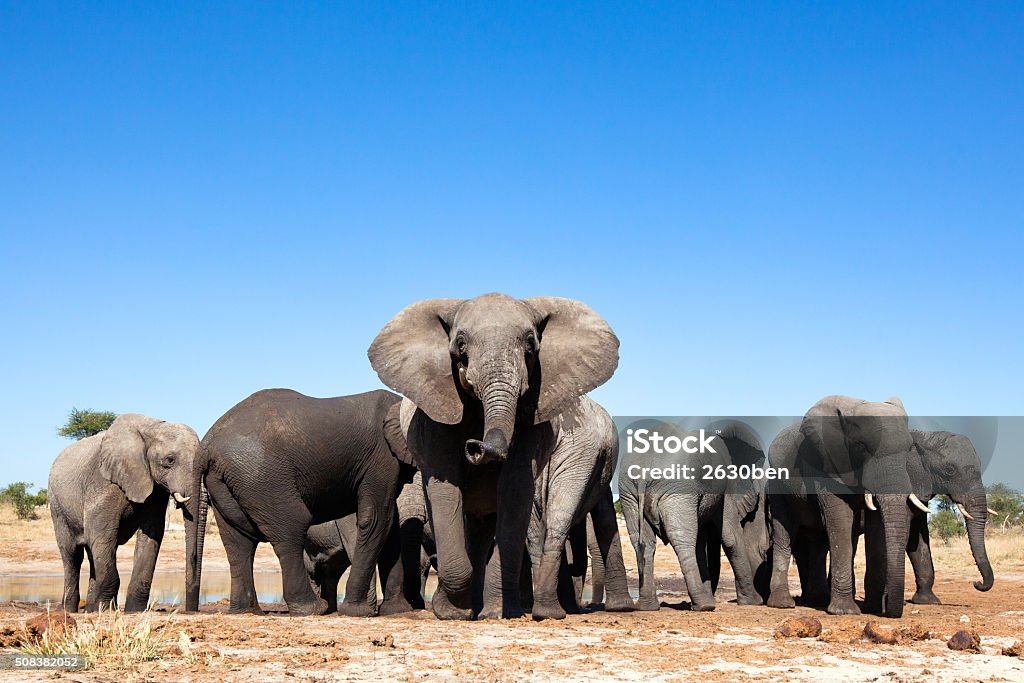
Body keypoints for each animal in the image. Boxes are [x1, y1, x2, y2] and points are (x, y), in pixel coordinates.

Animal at [48, 413, 199, 610]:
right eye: (169, 460)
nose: (191, 609)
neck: (151, 427)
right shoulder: (103, 481)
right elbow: (102, 533)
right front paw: (105, 610)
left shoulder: (154, 489)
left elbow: (151, 534)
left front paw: (133, 611)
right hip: (57, 505)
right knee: (72, 555)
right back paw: (71, 609)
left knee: (92, 553)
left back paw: (90, 609)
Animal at [188, 387, 415, 618]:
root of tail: (206, 445)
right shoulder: (382, 457)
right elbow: (376, 518)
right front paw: (358, 612)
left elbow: (390, 526)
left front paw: (397, 610)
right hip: (262, 476)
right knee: (290, 528)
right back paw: (313, 608)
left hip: (227, 481)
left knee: (238, 542)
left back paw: (247, 611)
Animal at [372, 292, 618, 618]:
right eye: (460, 343)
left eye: (530, 344)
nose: (475, 447)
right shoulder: (435, 413)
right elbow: (446, 488)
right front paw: (452, 612)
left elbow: (514, 488)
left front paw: (495, 613)